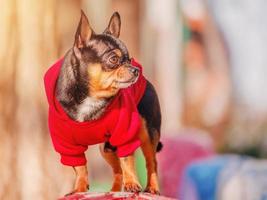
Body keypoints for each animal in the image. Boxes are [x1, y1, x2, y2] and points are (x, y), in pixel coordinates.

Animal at [43, 10, 162, 195]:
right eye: (113, 59)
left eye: (129, 59)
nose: (135, 69)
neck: (92, 97)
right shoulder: (68, 147)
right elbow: (80, 167)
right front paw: (79, 188)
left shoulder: (124, 135)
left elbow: (127, 160)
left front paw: (132, 183)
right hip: (106, 148)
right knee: (117, 170)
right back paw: (113, 191)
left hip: (148, 134)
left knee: (151, 162)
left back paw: (152, 187)